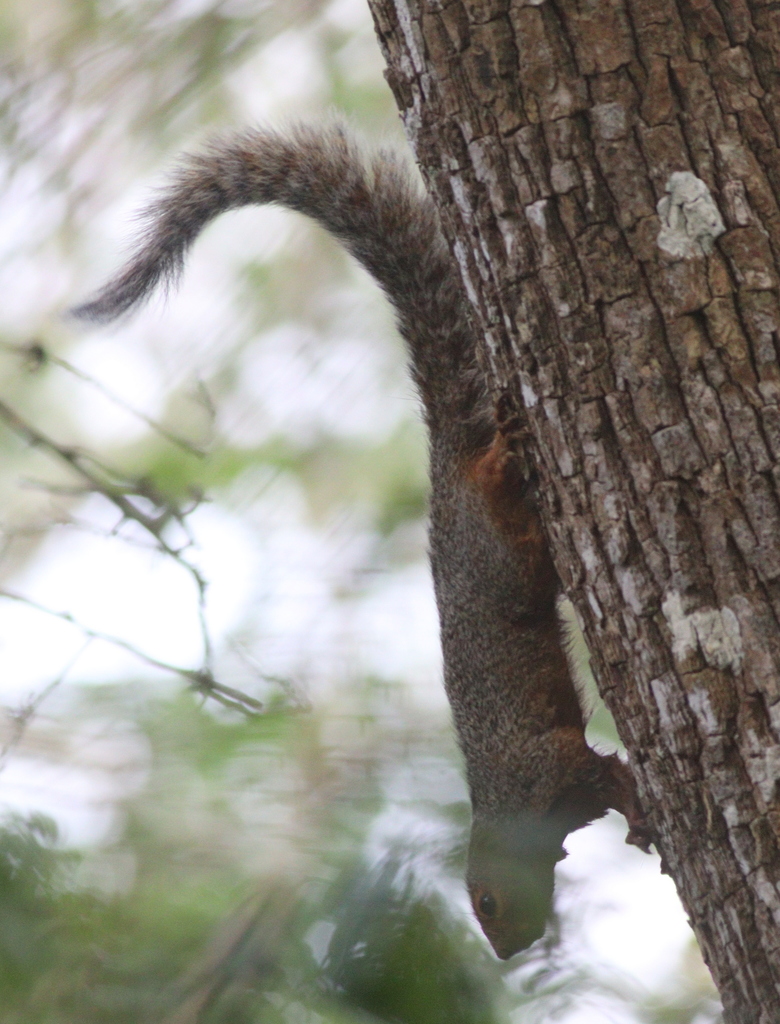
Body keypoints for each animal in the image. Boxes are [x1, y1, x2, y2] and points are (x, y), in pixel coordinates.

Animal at [72, 121, 653, 959]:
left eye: (485, 900)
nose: (508, 954)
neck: (508, 811)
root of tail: (444, 466)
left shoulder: (547, 768)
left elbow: (598, 773)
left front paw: (638, 806)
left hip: (489, 525)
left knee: (497, 484)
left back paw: (509, 447)